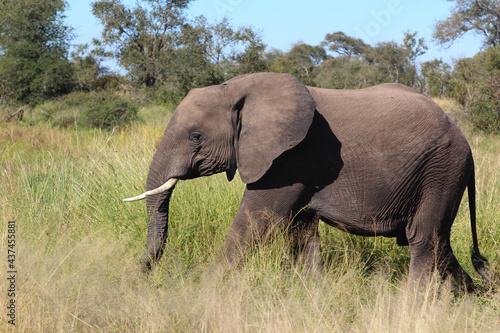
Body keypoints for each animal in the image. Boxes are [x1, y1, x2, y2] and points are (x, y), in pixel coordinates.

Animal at [123, 72, 490, 290]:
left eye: (196, 137)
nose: (142, 276)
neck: (238, 88)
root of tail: (465, 141)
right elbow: (300, 229)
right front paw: (314, 291)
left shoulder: (290, 158)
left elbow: (256, 220)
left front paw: (205, 292)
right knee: (441, 244)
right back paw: (475, 296)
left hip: (440, 170)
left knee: (424, 238)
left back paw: (412, 305)